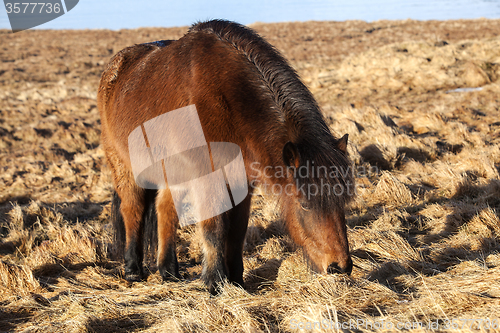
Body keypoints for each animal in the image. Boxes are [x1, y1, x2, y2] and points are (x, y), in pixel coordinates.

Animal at [97, 18, 354, 294]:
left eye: (342, 201)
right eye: (305, 203)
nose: (340, 267)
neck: (229, 99)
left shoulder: (242, 181)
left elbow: (238, 230)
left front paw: (237, 280)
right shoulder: (209, 179)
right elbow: (214, 229)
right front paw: (215, 282)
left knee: (165, 209)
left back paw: (169, 271)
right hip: (125, 167)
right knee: (132, 210)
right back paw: (133, 270)